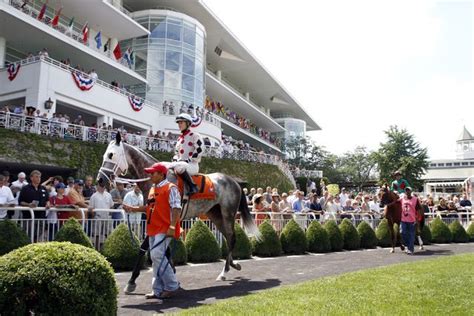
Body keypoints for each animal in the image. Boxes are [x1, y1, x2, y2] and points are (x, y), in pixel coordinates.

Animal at [96, 132, 260, 290]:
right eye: (104, 155)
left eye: (111, 155)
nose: (100, 180)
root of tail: (235, 182)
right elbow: (164, 249)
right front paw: (171, 273)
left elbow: (145, 247)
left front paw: (132, 281)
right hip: (215, 214)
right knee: (227, 237)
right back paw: (233, 264)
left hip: (228, 213)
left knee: (232, 237)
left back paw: (224, 272)